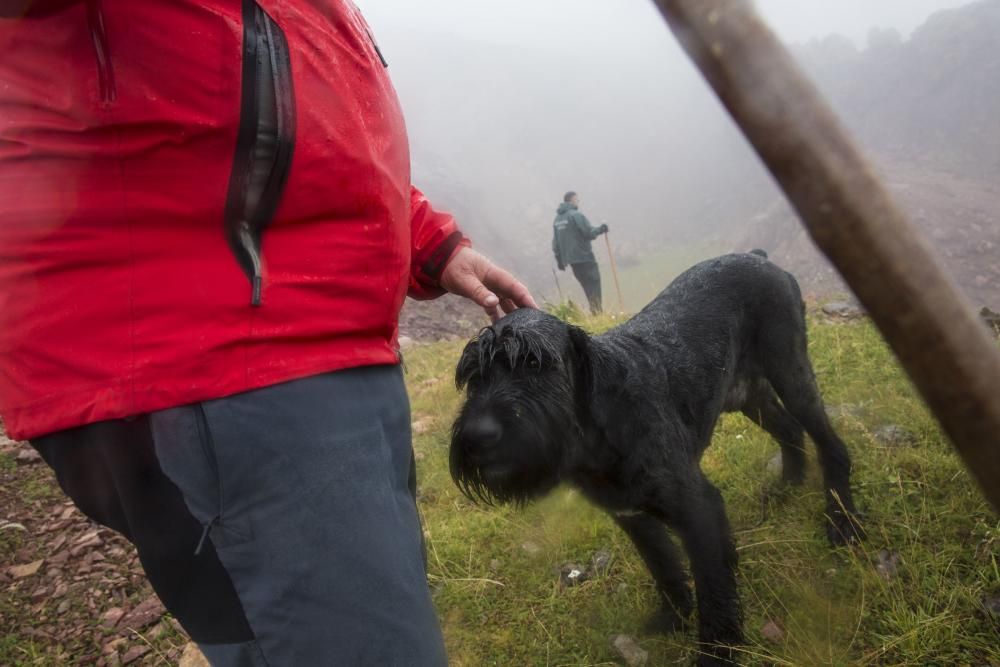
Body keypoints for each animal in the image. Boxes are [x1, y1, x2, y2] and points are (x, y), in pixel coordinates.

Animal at [450, 253, 864, 664]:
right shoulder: (634, 518)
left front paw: (718, 651)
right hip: (749, 395)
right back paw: (786, 486)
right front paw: (675, 616)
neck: (599, 430)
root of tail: (758, 258)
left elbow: (714, 590)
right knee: (790, 431)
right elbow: (664, 567)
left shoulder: (697, 509)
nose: (477, 436)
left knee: (831, 445)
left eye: (535, 363)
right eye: (473, 377)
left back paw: (843, 523)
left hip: (791, 375)